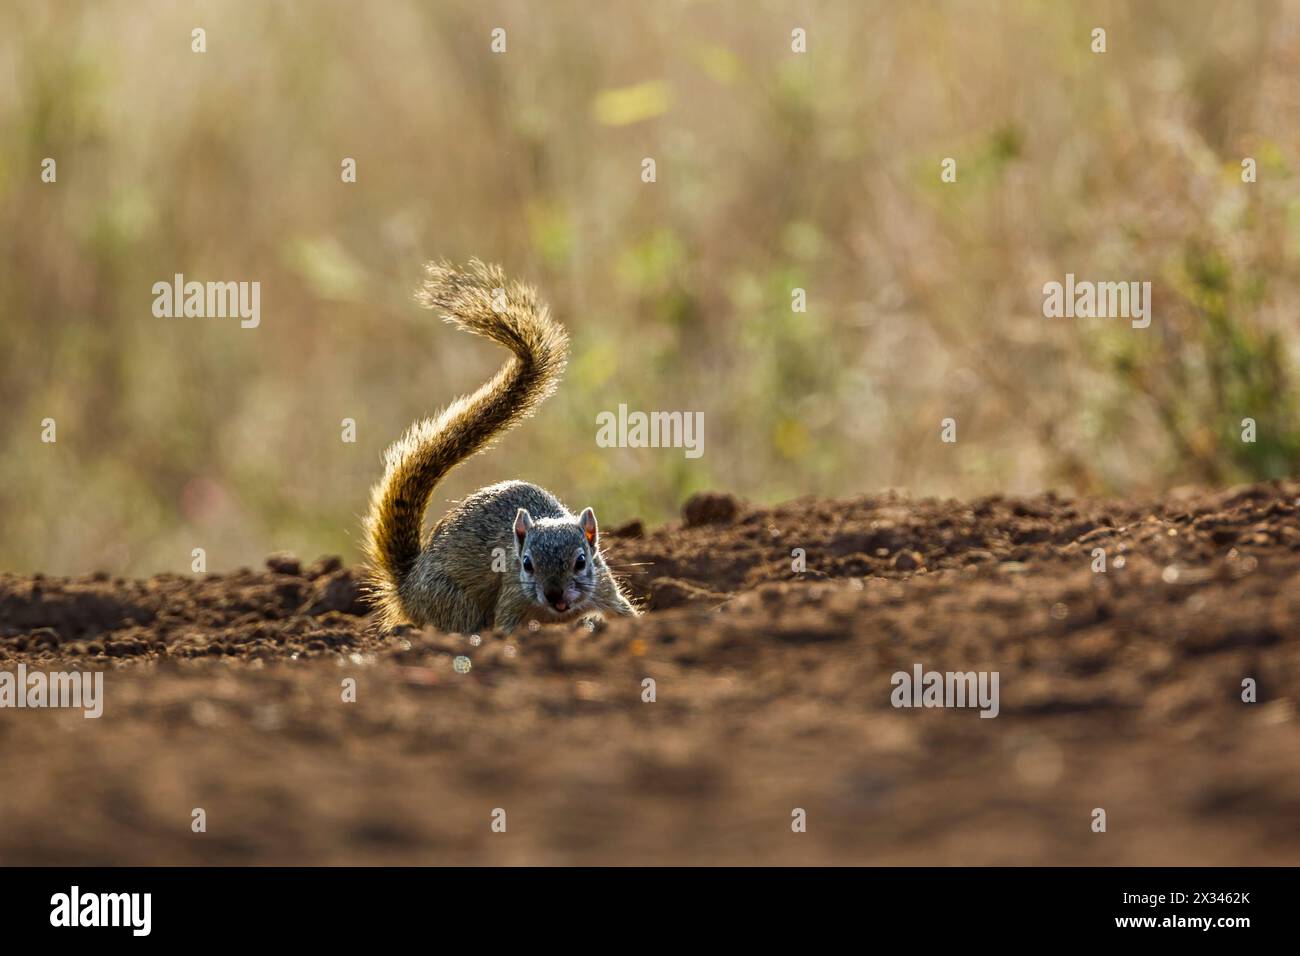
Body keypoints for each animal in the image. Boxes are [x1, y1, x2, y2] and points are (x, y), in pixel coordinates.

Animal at [364, 259, 640, 634]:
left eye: (582, 561)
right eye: (527, 564)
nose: (554, 594)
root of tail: (408, 589)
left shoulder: (606, 589)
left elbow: (625, 613)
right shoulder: (510, 598)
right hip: (455, 605)